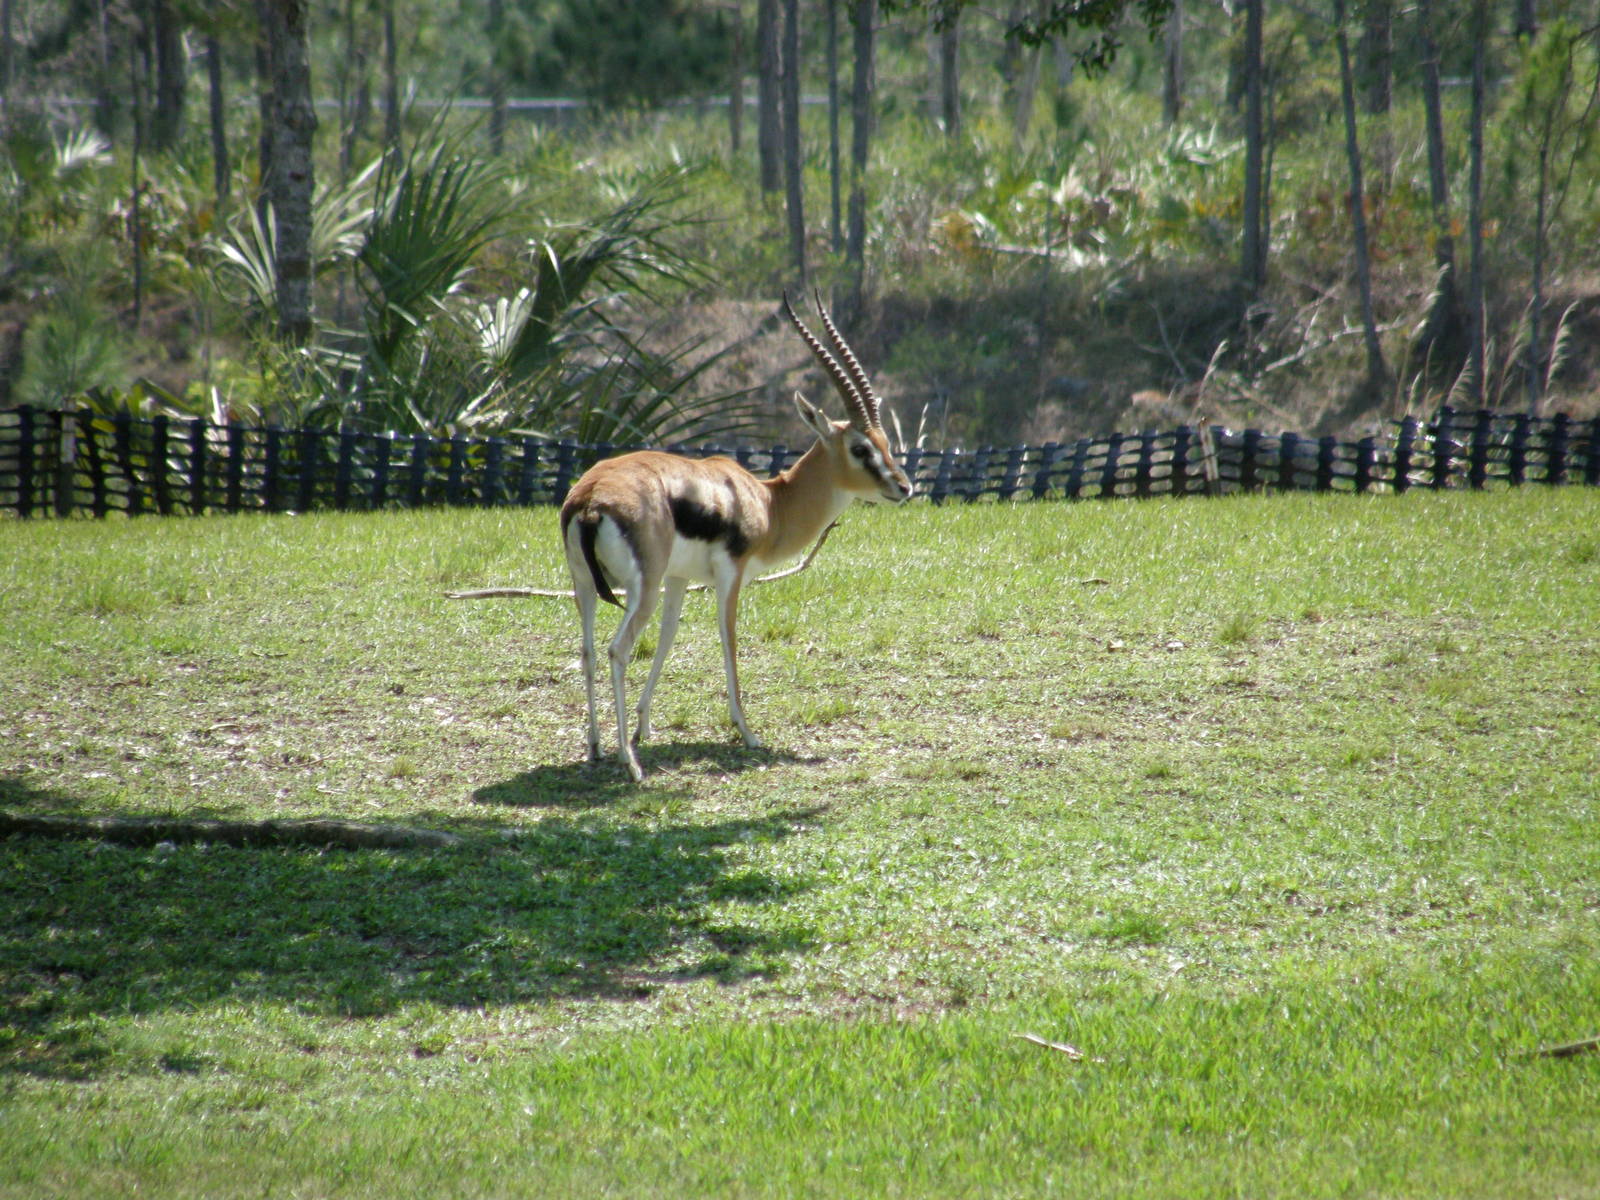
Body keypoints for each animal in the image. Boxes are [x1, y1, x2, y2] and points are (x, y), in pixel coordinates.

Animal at [560, 293, 914, 781]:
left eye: (884, 443)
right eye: (860, 448)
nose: (904, 487)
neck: (768, 501)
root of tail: (591, 498)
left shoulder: (678, 579)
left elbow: (668, 638)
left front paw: (644, 727)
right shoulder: (729, 575)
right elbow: (728, 640)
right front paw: (747, 732)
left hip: (585, 586)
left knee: (589, 650)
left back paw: (596, 747)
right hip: (640, 588)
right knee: (617, 650)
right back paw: (629, 765)